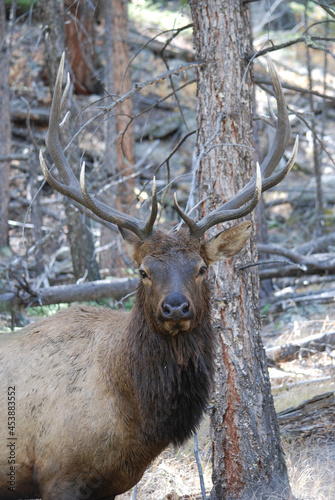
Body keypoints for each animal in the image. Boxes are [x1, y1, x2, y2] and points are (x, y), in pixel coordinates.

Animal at [0, 52, 300, 498]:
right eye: (143, 270)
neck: (134, 417)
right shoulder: (58, 473)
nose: (175, 307)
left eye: (201, 267)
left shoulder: (109, 483)